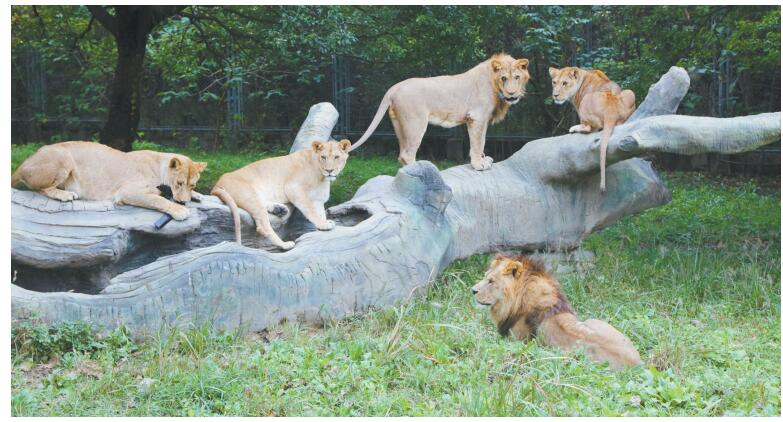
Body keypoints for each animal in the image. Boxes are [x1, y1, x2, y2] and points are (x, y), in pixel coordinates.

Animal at [13, 142, 208, 221]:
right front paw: (180, 210)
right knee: (41, 189)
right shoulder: (127, 192)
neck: (159, 165)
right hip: (64, 157)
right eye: (179, 183)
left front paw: (197, 195)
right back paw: (65, 194)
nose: (183, 201)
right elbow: (157, 199)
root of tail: (23, 164)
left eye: (192, 184)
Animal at [211, 138, 352, 251]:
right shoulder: (294, 188)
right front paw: (323, 225)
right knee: (262, 227)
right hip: (249, 194)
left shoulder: (318, 198)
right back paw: (284, 244)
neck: (322, 177)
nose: (329, 170)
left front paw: (323, 223)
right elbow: (310, 210)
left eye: (336, 157)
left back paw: (279, 209)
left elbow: (320, 212)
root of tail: (218, 182)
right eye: (323, 157)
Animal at [352, 53, 528, 171]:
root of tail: (394, 87)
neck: (494, 84)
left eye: (517, 77)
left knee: (401, 154)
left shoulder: (482, 119)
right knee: (407, 154)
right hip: (415, 124)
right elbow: (477, 143)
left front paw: (484, 159)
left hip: (399, 125)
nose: (511, 94)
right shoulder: (476, 117)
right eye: (503, 78)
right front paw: (479, 164)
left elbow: (482, 140)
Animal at [472, 254, 644, 370]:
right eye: (485, 277)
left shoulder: (516, 339)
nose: (472, 290)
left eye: (491, 281)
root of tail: (638, 365)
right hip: (592, 320)